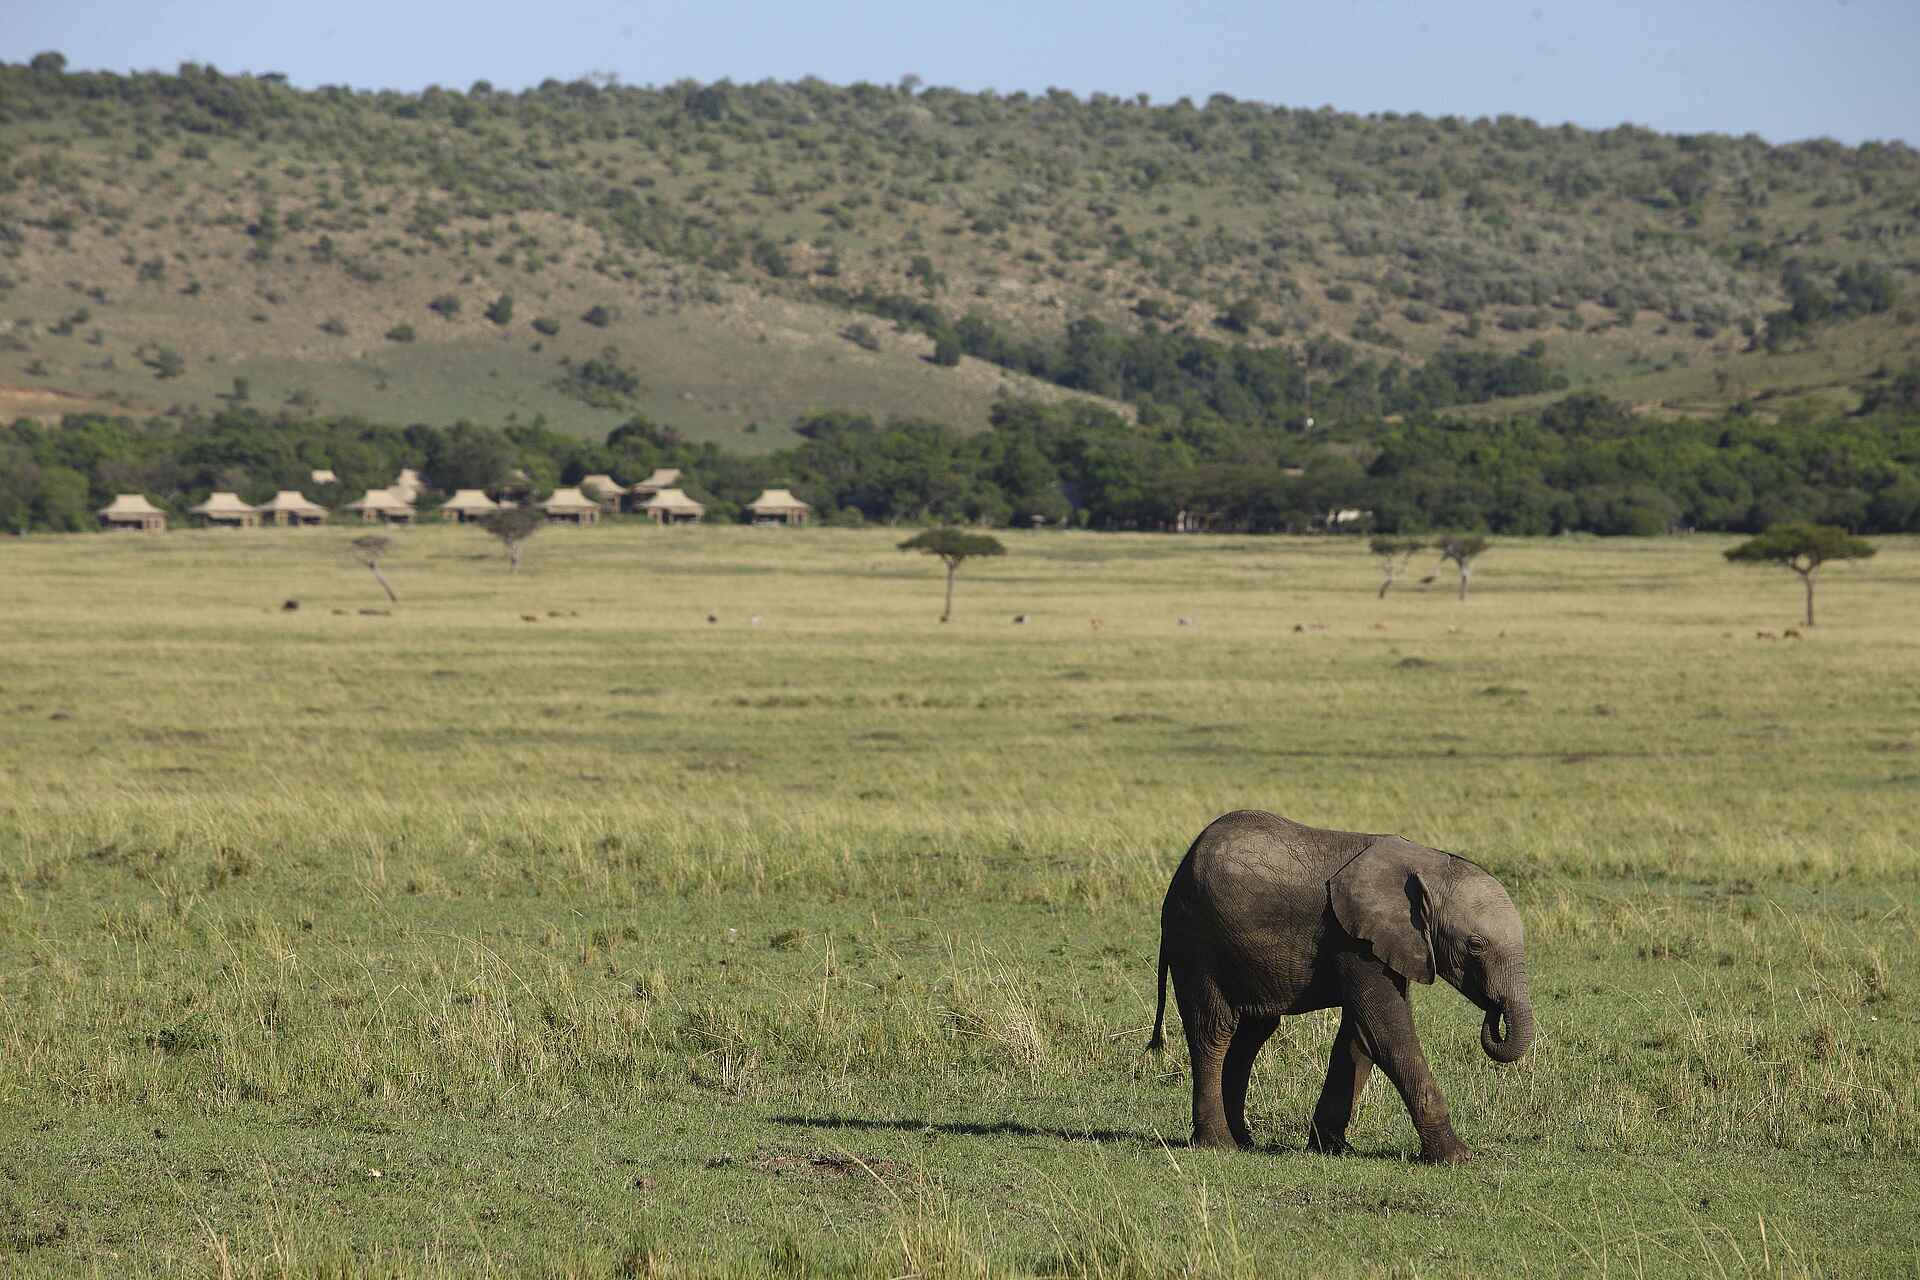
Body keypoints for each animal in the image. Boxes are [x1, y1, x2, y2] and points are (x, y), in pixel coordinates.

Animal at [1147, 810, 1534, 1164]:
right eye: (1476, 945)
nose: (1494, 1014)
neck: (1425, 864)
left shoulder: (1385, 941)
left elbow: (1360, 1035)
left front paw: (1333, 1148)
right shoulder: (1354, 939)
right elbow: (1386, 1030)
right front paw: (1457, 1157)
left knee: (1251, 1035)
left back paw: (1244, 1141)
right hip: (1197, 942)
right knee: (1214, 1030)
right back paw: (1218, 1144)